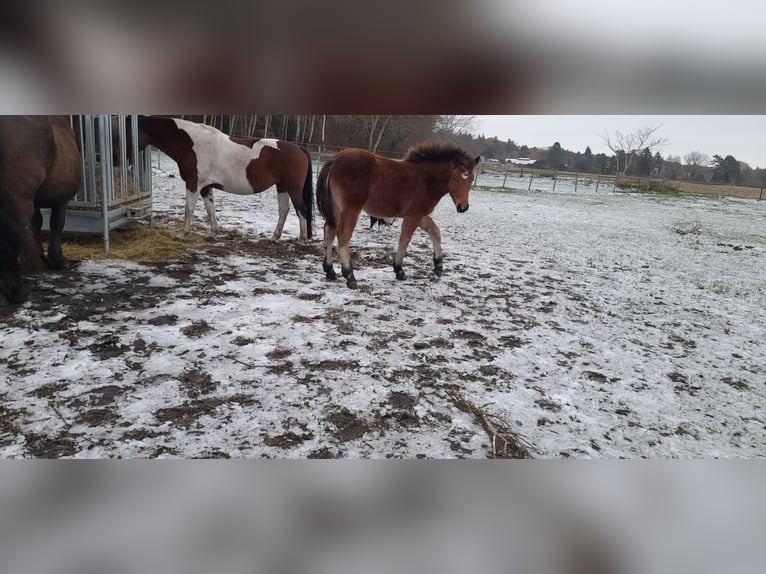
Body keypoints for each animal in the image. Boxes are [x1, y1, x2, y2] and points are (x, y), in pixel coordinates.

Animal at [0, 117, 83, 306]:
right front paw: (58, 260)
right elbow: (57, 224)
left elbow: (36, 224)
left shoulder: (37, 201)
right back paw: (17, 291)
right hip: (19, 201)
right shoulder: (61, 199)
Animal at [136, 117, 314, 243]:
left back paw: (301, 240)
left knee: (301, 210)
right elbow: (210, 210)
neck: (192, 144)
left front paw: (182, 234)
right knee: (284, 210)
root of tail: (299, 148)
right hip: (282, 186)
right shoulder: (205, 187)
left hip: (293, 188)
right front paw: (213, 233)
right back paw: (274, 237)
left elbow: (188, 208)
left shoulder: (193, 184)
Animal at [316, 142, 476, 290]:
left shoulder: (421, 215)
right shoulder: (414, 215)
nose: (463, 207)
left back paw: (330, 271)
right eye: (454, 178)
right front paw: (399, 270)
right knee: (343, 236)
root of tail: (334, 159)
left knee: (329, 232)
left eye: (471, 179)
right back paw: (350, 276)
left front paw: (438, 266)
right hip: (351, 209)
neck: (425, 179)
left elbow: (435, 232)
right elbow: (405, 239)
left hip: (336, 209)